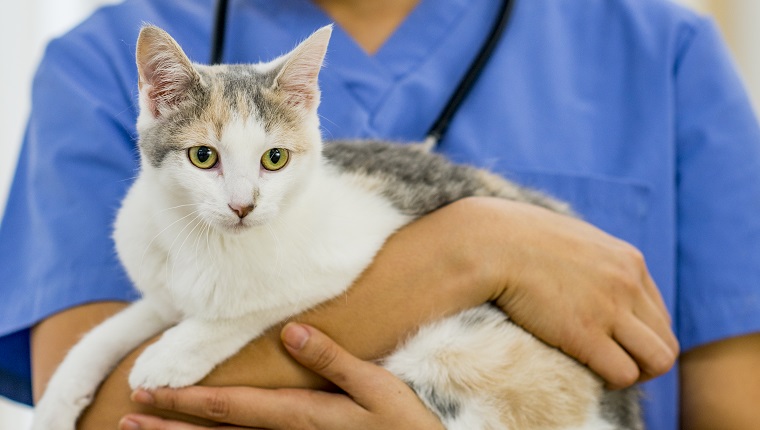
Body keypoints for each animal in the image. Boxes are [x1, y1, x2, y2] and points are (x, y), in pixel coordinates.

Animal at [34, 24, 640, 430]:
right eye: (203, 157)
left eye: (274, 159)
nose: (243, 206)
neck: (207, 244)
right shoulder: (161, 283)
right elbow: (116, 327)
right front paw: (59, 399)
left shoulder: (347, 252)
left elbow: (252, 305)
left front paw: (172, 354)